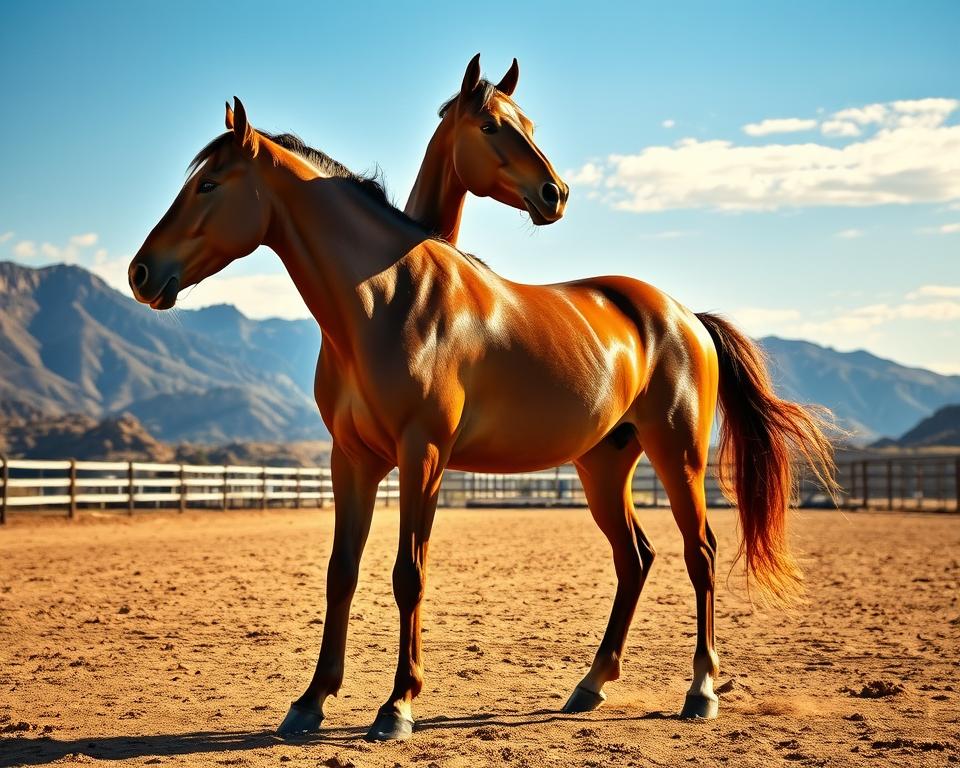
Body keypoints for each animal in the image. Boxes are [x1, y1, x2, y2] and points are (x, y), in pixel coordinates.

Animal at [128, 98, 836, 742]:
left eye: (208, 185)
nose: (140, 272)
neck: (387, 299)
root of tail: (685, 315)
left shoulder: (423, 456)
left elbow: (407, 574)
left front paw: (397, 707)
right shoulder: (351, 459)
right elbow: (341, 573)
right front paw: (310, 702)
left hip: (677, 455)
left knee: (702, 554)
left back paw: (701, 692)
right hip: (603, 466)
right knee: (634, 557)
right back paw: (590, 685)